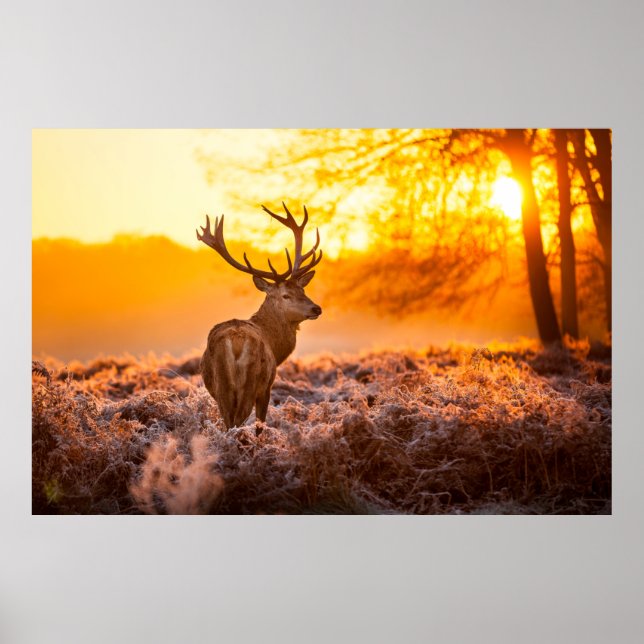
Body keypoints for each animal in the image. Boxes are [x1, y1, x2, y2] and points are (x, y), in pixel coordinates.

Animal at [196, 203, 323, 430]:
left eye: (303, 290)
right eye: (286, 295)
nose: (316, 309)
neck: (275, 345)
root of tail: (235, 342)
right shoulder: (267, 387)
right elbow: (260, 425)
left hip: (222, 388)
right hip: (251, 382)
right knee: (238, 422)